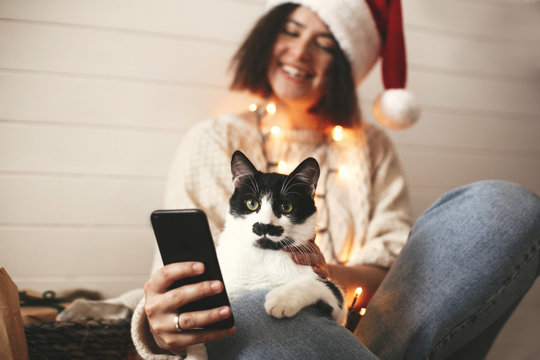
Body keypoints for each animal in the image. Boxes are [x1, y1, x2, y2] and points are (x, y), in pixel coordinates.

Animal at [186, 150, 346, 358]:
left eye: (286, 207)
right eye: (252, 203)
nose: (264, 226)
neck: (264, 255)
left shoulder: (339, 309)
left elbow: (316, 284)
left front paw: (282, 298)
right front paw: (195, 352)